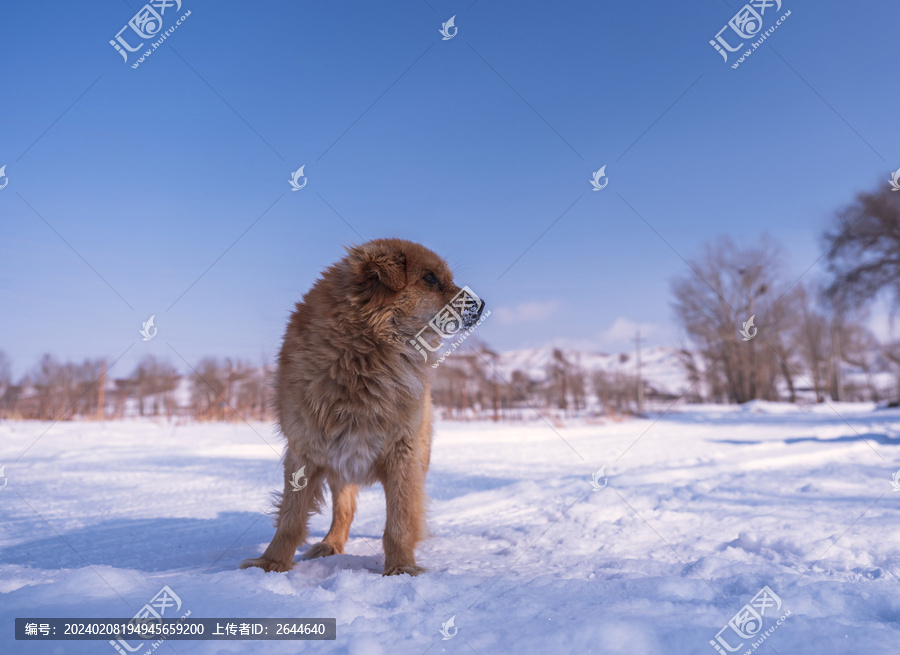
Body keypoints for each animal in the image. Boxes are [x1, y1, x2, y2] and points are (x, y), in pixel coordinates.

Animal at [237, 238, 478, 576]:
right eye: (430, 278)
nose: (480, 305)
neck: (363, 359)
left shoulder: (402, 451)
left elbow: (400, 519)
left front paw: (402, 568)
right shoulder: (305, 450)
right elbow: (290, 518)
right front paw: (272, 564)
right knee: (345, 509)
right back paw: (330, 544)